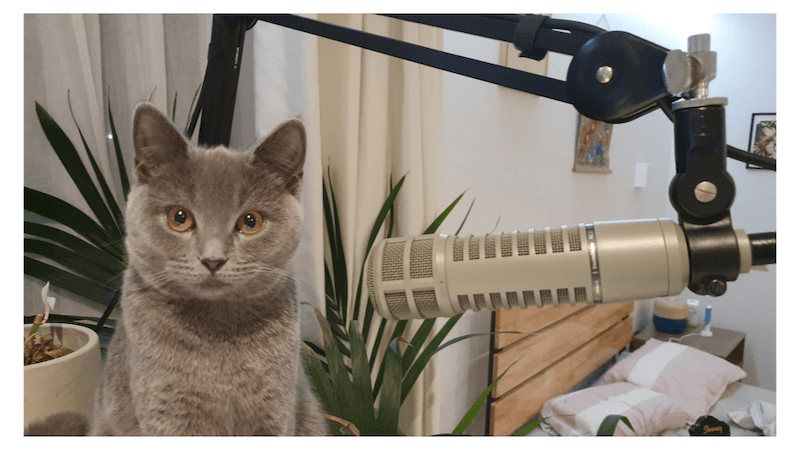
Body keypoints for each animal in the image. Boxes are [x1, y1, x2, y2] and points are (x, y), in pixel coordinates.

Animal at [83, 103, 326, 434]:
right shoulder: (165, 410)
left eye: (250, 221)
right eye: (179, 217)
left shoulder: (277, 410)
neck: (218, 336)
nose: (213, 259)